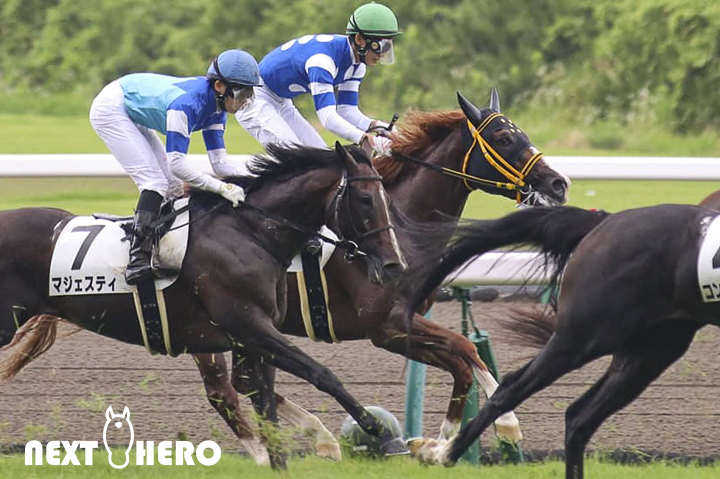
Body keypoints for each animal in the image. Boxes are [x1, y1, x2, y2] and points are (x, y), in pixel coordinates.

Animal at [0, 142, 409, 469]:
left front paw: (280, 461)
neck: (249, 233)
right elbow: (321, 373)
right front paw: (379, 431)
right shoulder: (250, 326)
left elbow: (264, 402)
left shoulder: (254, 337)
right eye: (366, 200)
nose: (395, 266)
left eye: (389, 200)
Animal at [192, 90, 571, 461]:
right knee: (223, 390)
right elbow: (465, 347)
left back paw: (321, 439)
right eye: (504, 138)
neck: (402, 229)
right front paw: (506, 425)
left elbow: (461, 363)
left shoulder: (403, 325)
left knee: (242, 382)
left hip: (246, 328)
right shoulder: (384, 326)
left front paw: (436, 445)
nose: (559, 183)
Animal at [403, 203, 720, 478]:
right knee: (512, 388)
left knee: (579, 418)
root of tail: (605, 221)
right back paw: (442, 452)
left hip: (652, 348)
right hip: (584, 335)